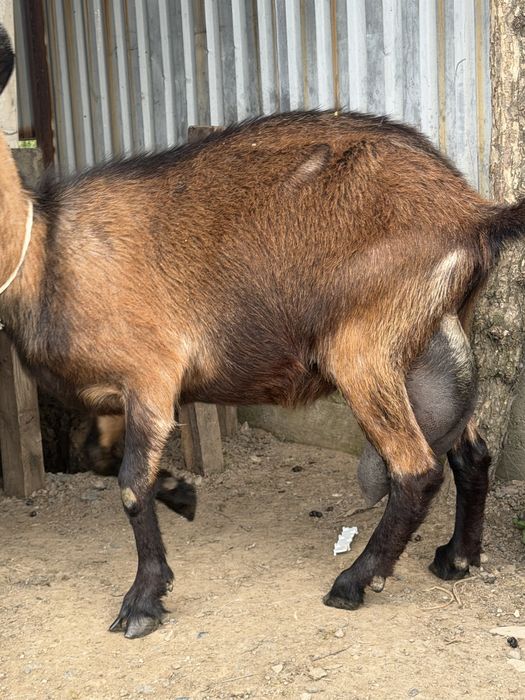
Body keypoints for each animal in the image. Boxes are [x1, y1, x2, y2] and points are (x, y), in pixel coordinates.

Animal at [0, 26, 522, 638]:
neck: (47, 252)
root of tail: (471, 213)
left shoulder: (151, 374)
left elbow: (129, 482)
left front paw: (143, 599)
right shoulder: (112, 393)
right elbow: (97, 457)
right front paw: (181, 493)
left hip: (364, 347)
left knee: (416, 469)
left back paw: (354, 582)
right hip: (434, 338)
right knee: (471, 451)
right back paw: (456, 558)